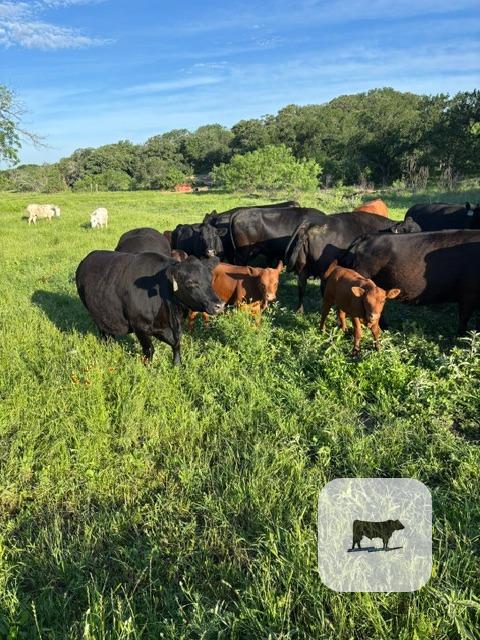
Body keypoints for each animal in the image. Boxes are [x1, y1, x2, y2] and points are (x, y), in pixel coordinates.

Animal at [76, 251, 224, 363]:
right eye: (190, 282)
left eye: (210, 279)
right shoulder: (139, 326)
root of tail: (89, 257)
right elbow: (149, 349)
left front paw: (177, 364)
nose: (219, 305)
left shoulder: (167, 328)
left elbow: (176, 344)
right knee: (104, 332)